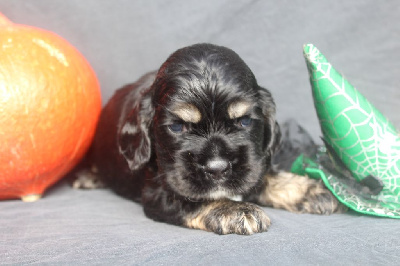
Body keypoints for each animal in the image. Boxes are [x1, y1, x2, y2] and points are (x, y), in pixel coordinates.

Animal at [75, 43, 344, 235]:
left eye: (244, 121)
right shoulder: (159, 193)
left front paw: (310, 190)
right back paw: (89, 176)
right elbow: (195, 200)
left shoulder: (251, 166)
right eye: (177, 126)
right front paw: (235, 210)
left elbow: (263, 177)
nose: (217, 169)